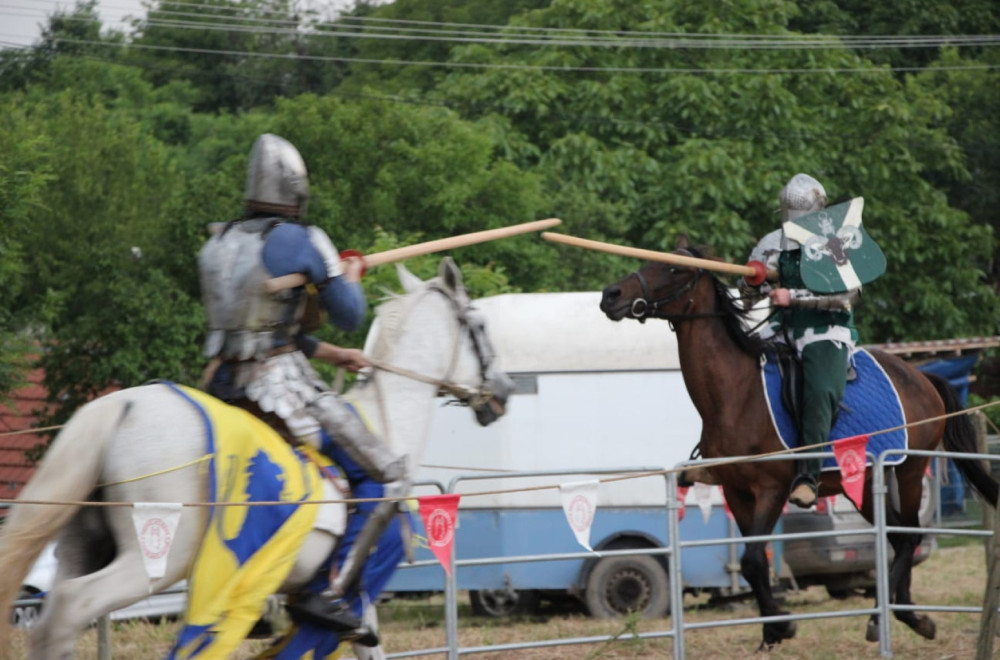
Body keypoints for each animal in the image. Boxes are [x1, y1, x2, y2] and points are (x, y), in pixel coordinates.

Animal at [0, 258, 508, 660]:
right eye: (480, 326)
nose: (502, 393)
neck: (386, 417)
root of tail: (118, 407)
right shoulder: (356, 598)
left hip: (80, 547)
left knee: (54, 613)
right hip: (156, 558)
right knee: (71, 607)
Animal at [596, 238, 996, 648]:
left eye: (674, 269)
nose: (611, 295)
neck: (736, 393)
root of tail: (922, 377)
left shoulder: (771, 489)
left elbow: (755, 559)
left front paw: (781, 625)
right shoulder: (737, 492)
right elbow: (753, 564)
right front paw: (772, 629)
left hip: (910, 470)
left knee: (910, 534)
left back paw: (896, 618)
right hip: (863, 484)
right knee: (900, 539)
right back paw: (903, 617)